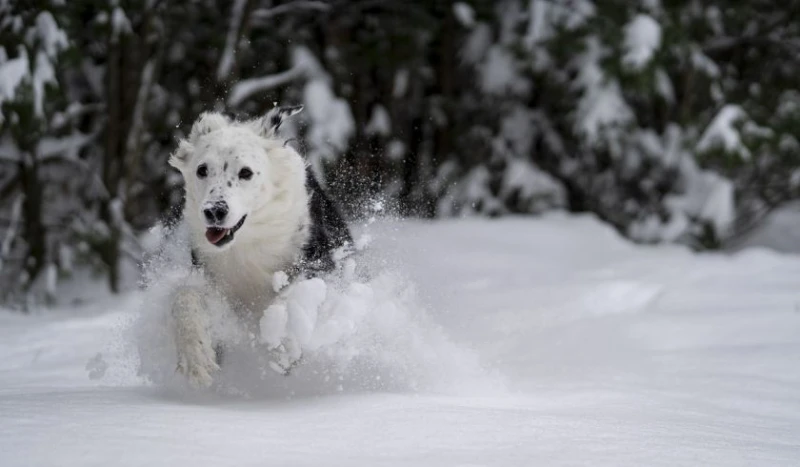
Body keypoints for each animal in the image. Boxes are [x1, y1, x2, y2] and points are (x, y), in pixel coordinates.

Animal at [166, 107, 350, 388]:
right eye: (202, 170)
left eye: (246, 172)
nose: (214, 211)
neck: (248, 240)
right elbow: (185, 296)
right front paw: (196, 357)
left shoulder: (320, 262)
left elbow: (289, 296)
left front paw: (282, 345)